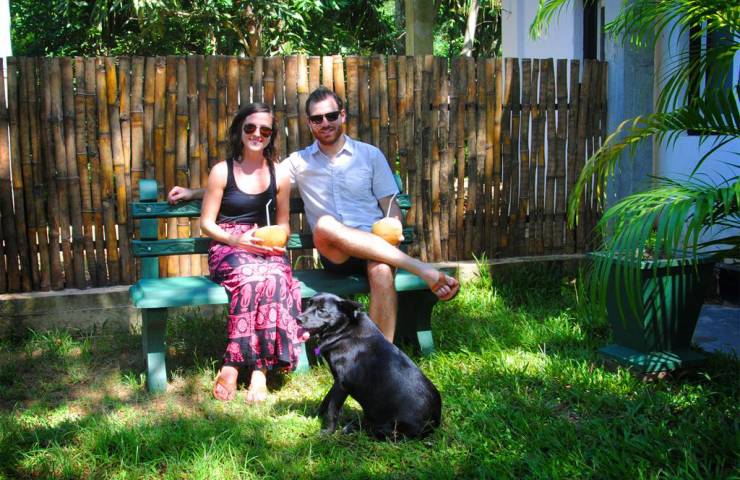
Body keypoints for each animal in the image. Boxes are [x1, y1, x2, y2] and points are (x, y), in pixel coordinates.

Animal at [297, 293, 441, 440]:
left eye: (321, 310)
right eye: (308, 304)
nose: (298, 319)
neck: (344, 330)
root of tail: (434, 424)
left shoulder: (342, 384)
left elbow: (332, 410)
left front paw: (327, 432)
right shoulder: (337, 381)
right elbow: (326, 400)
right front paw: (315, 416)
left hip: (391, 429)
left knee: (374, 431)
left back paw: (350, 428)